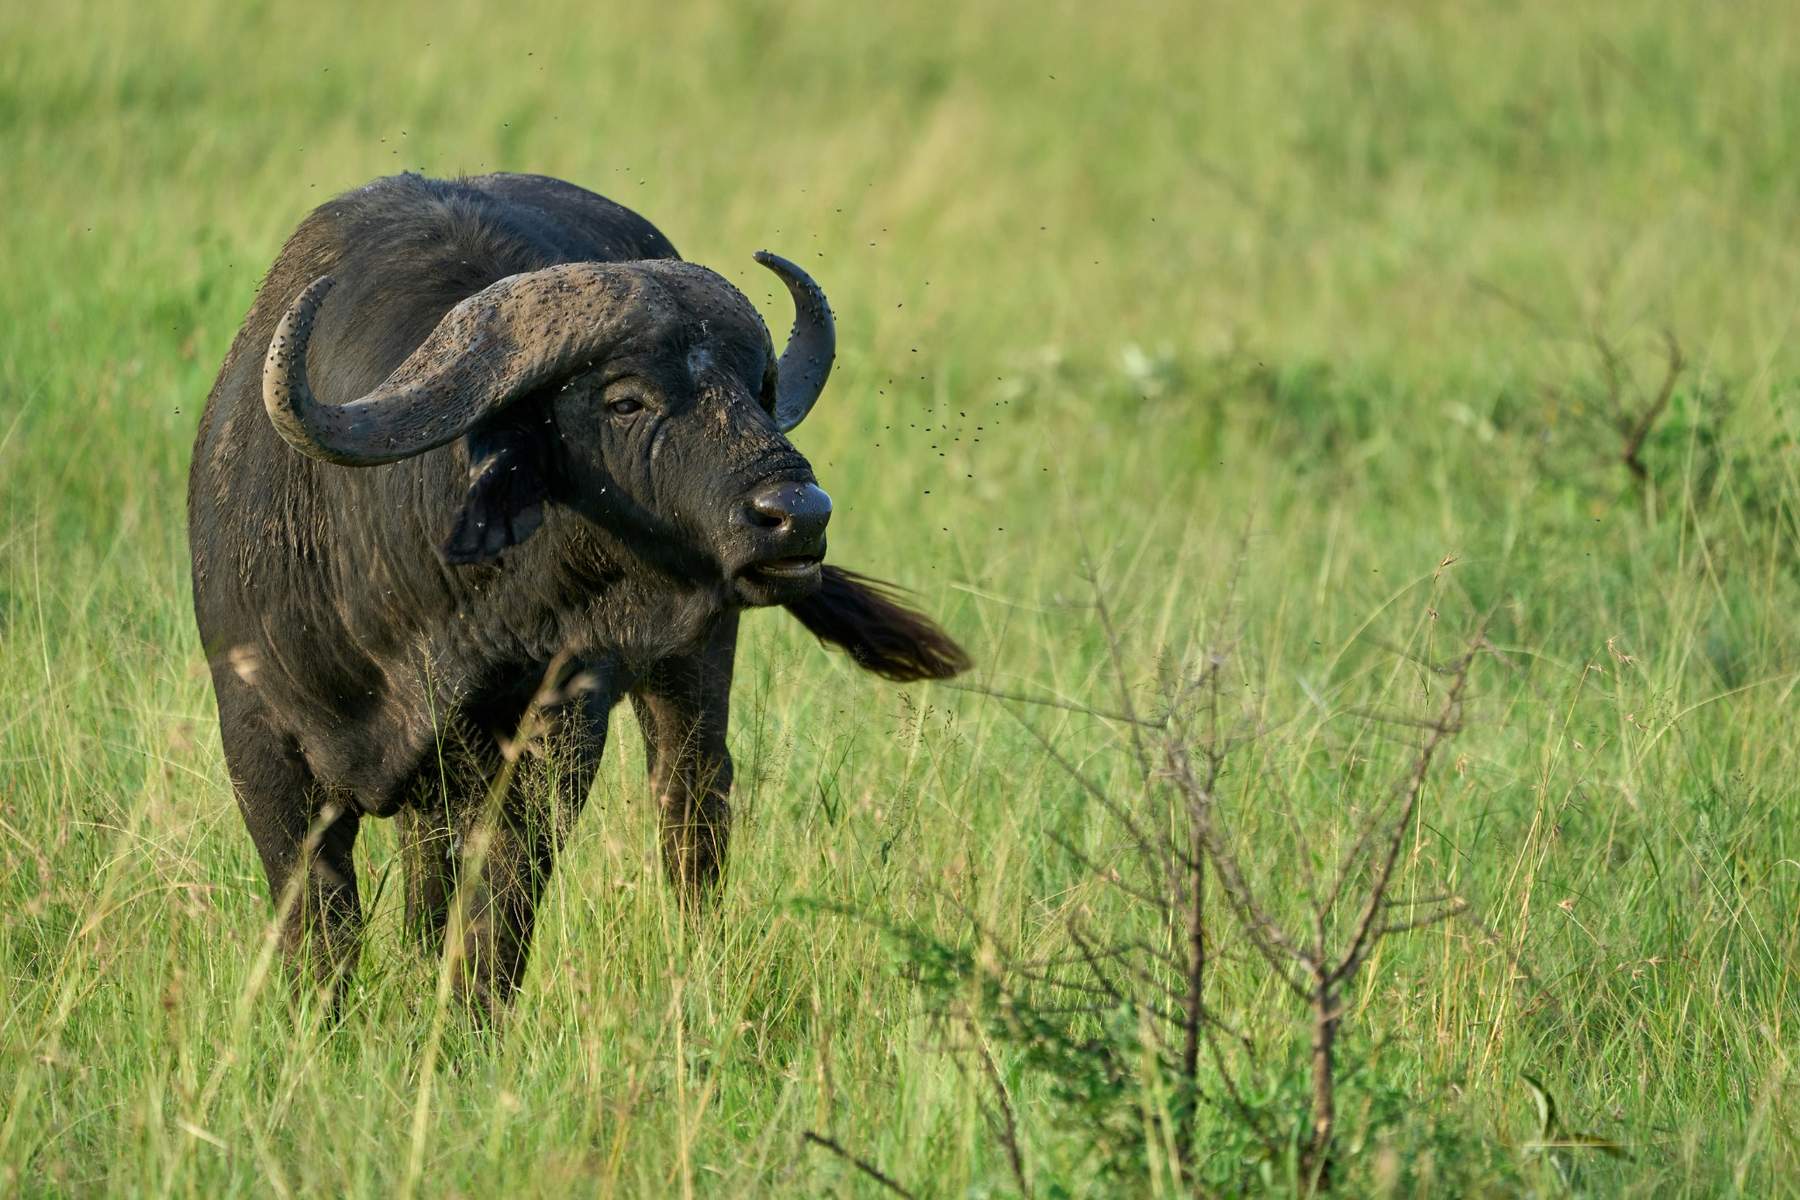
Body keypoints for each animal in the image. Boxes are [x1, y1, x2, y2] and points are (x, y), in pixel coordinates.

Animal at [188, 172, 967, 1013]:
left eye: (754, 391)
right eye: (625, 400)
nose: (798, 515)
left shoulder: (547, 740)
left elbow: (497, 915)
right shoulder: (260, 743)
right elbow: (322, 927)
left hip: (693, 666)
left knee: (692, 814)